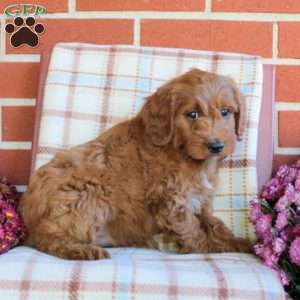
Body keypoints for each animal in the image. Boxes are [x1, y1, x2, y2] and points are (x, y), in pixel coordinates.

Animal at [19, 68, 252, 260]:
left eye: (226, 112)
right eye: (192, 114)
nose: (217, 145)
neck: (183, 152)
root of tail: (28, 212)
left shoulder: (201, 196)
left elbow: (212, 221)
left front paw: (235, 240)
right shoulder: (170, 197)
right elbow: (191, 228)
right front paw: (213, 246)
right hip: (88, 192)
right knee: (47, 238)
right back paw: (80, 249)